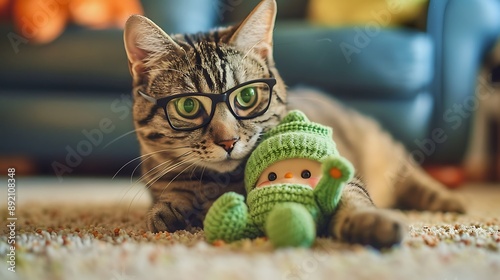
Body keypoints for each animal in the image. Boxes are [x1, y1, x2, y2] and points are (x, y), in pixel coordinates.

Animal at [122, 0, 464, 248]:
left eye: (246, 96)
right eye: (189, 105)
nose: (228, 141)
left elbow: (352, 197)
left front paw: (370, 222)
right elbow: (172, 195)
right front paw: (170, 210)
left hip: (387, 153)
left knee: (416, 178)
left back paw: (452, 202)